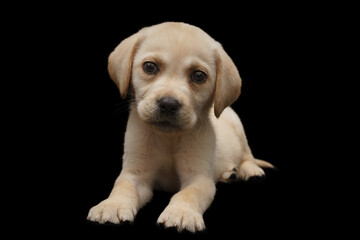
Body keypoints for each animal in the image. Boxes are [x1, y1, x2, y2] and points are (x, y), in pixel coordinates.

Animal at [87, 21, 272, 232]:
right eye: (149, 67)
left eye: (198, 76)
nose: (168, 104)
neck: (168, 137)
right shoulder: (136, 174)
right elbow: (123, 187)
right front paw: (112, 205)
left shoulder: (199, 178)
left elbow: (187, 194)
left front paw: (181, 213)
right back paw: (229, 174)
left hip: (238, 126)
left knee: (247, 155)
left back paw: (250, 171)